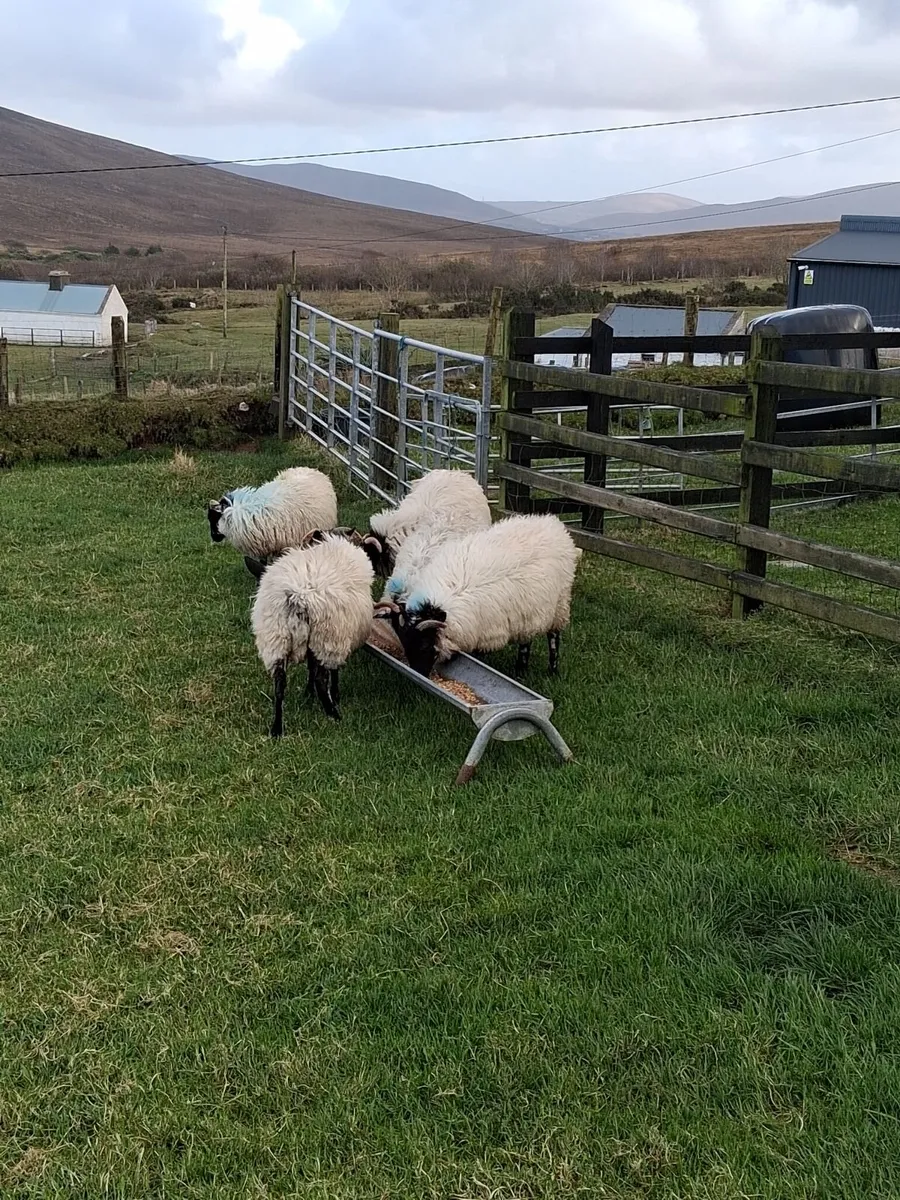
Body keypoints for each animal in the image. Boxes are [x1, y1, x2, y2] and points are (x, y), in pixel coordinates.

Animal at [251, 531, 375, 734]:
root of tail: (297, 598)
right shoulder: (336, 637)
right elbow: (332, 671)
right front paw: (335, 694)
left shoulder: (312, 643)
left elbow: (310, 666)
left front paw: (308, 693)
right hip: (326, 637)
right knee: (321, 680)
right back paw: (334, 714)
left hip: (276, 638)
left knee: (279, 684)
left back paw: (277, 728)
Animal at [375, 514, 581, 679]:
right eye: (405, 643)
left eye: (425, 646)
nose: (420, 673)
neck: (439, 602)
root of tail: (553, 523)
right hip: (529, 609)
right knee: (526, 638)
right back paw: (521, 670)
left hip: (560, 603)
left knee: (553, 636)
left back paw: (551, 670)